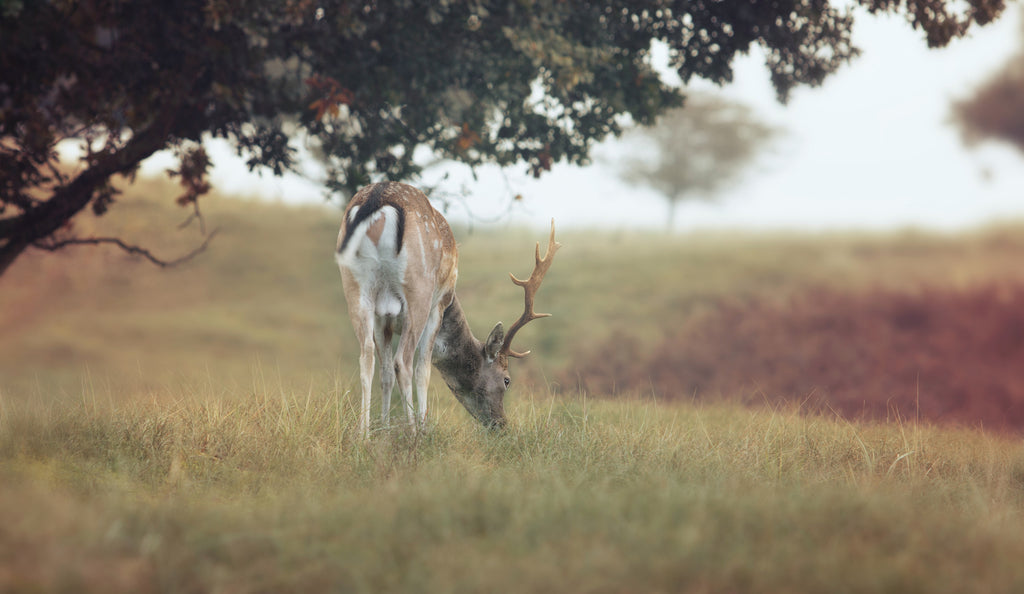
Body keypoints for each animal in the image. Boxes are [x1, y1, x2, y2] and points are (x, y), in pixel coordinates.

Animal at [335, 181, 561, 436]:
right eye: (507, 380)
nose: (502, 425)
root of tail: (378, 198)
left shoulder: (384, 320)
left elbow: (385, 375)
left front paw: (383, 431)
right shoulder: (439, 306)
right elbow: (423, 370)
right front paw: (422, 428)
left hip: (355, 288)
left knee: (366, 357)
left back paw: (362, 435)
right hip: (419, 290)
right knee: (403, 363)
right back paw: (413, 433)